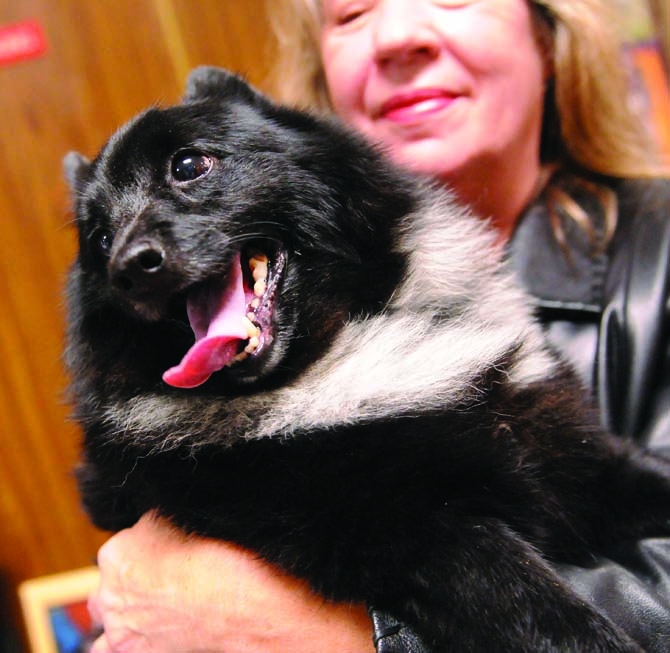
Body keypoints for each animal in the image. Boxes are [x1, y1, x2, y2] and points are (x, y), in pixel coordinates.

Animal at [64, 69, 670, 648]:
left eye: (189, 165)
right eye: (99, 238)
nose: (126, 267)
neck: (343, 356)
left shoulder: (578, 456)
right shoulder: (420, 532)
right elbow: (550, 618)